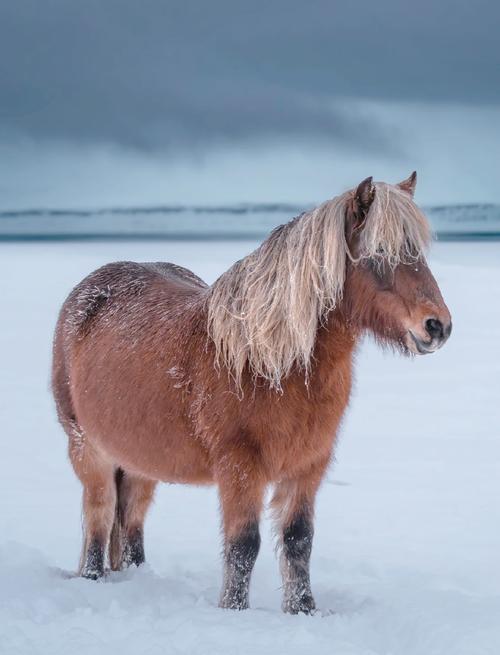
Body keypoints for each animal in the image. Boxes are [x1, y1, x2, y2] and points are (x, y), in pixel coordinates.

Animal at [52, 173, 451, 614]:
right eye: (379, 252)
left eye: (418, 252)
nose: (438, 326)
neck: (271, 364)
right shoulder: (240, 467)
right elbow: (243, 545)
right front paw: (234, 611)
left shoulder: (309, 465)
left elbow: (298, 540)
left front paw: (303, 610)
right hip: (87, 448)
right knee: (100, 516)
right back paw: (92, 577)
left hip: (141, 461)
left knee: (132, 520)